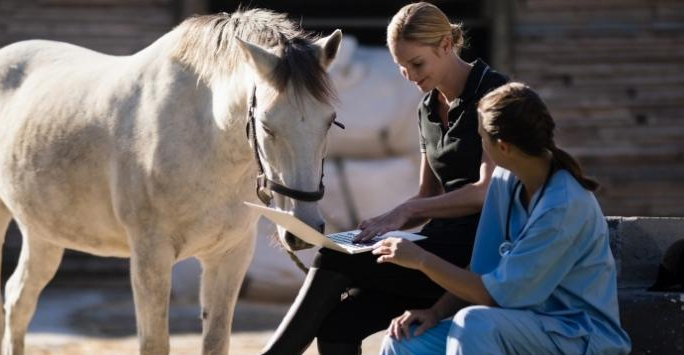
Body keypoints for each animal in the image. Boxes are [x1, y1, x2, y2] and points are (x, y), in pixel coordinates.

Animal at [0, 9, 342, 355]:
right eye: (267, 126)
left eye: (329, 121)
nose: (303, 230)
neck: (205, 136)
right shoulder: (150, 257)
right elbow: (154, 343)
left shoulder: (230, 255)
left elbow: (216, 341)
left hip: (43, 235)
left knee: (18, 300)